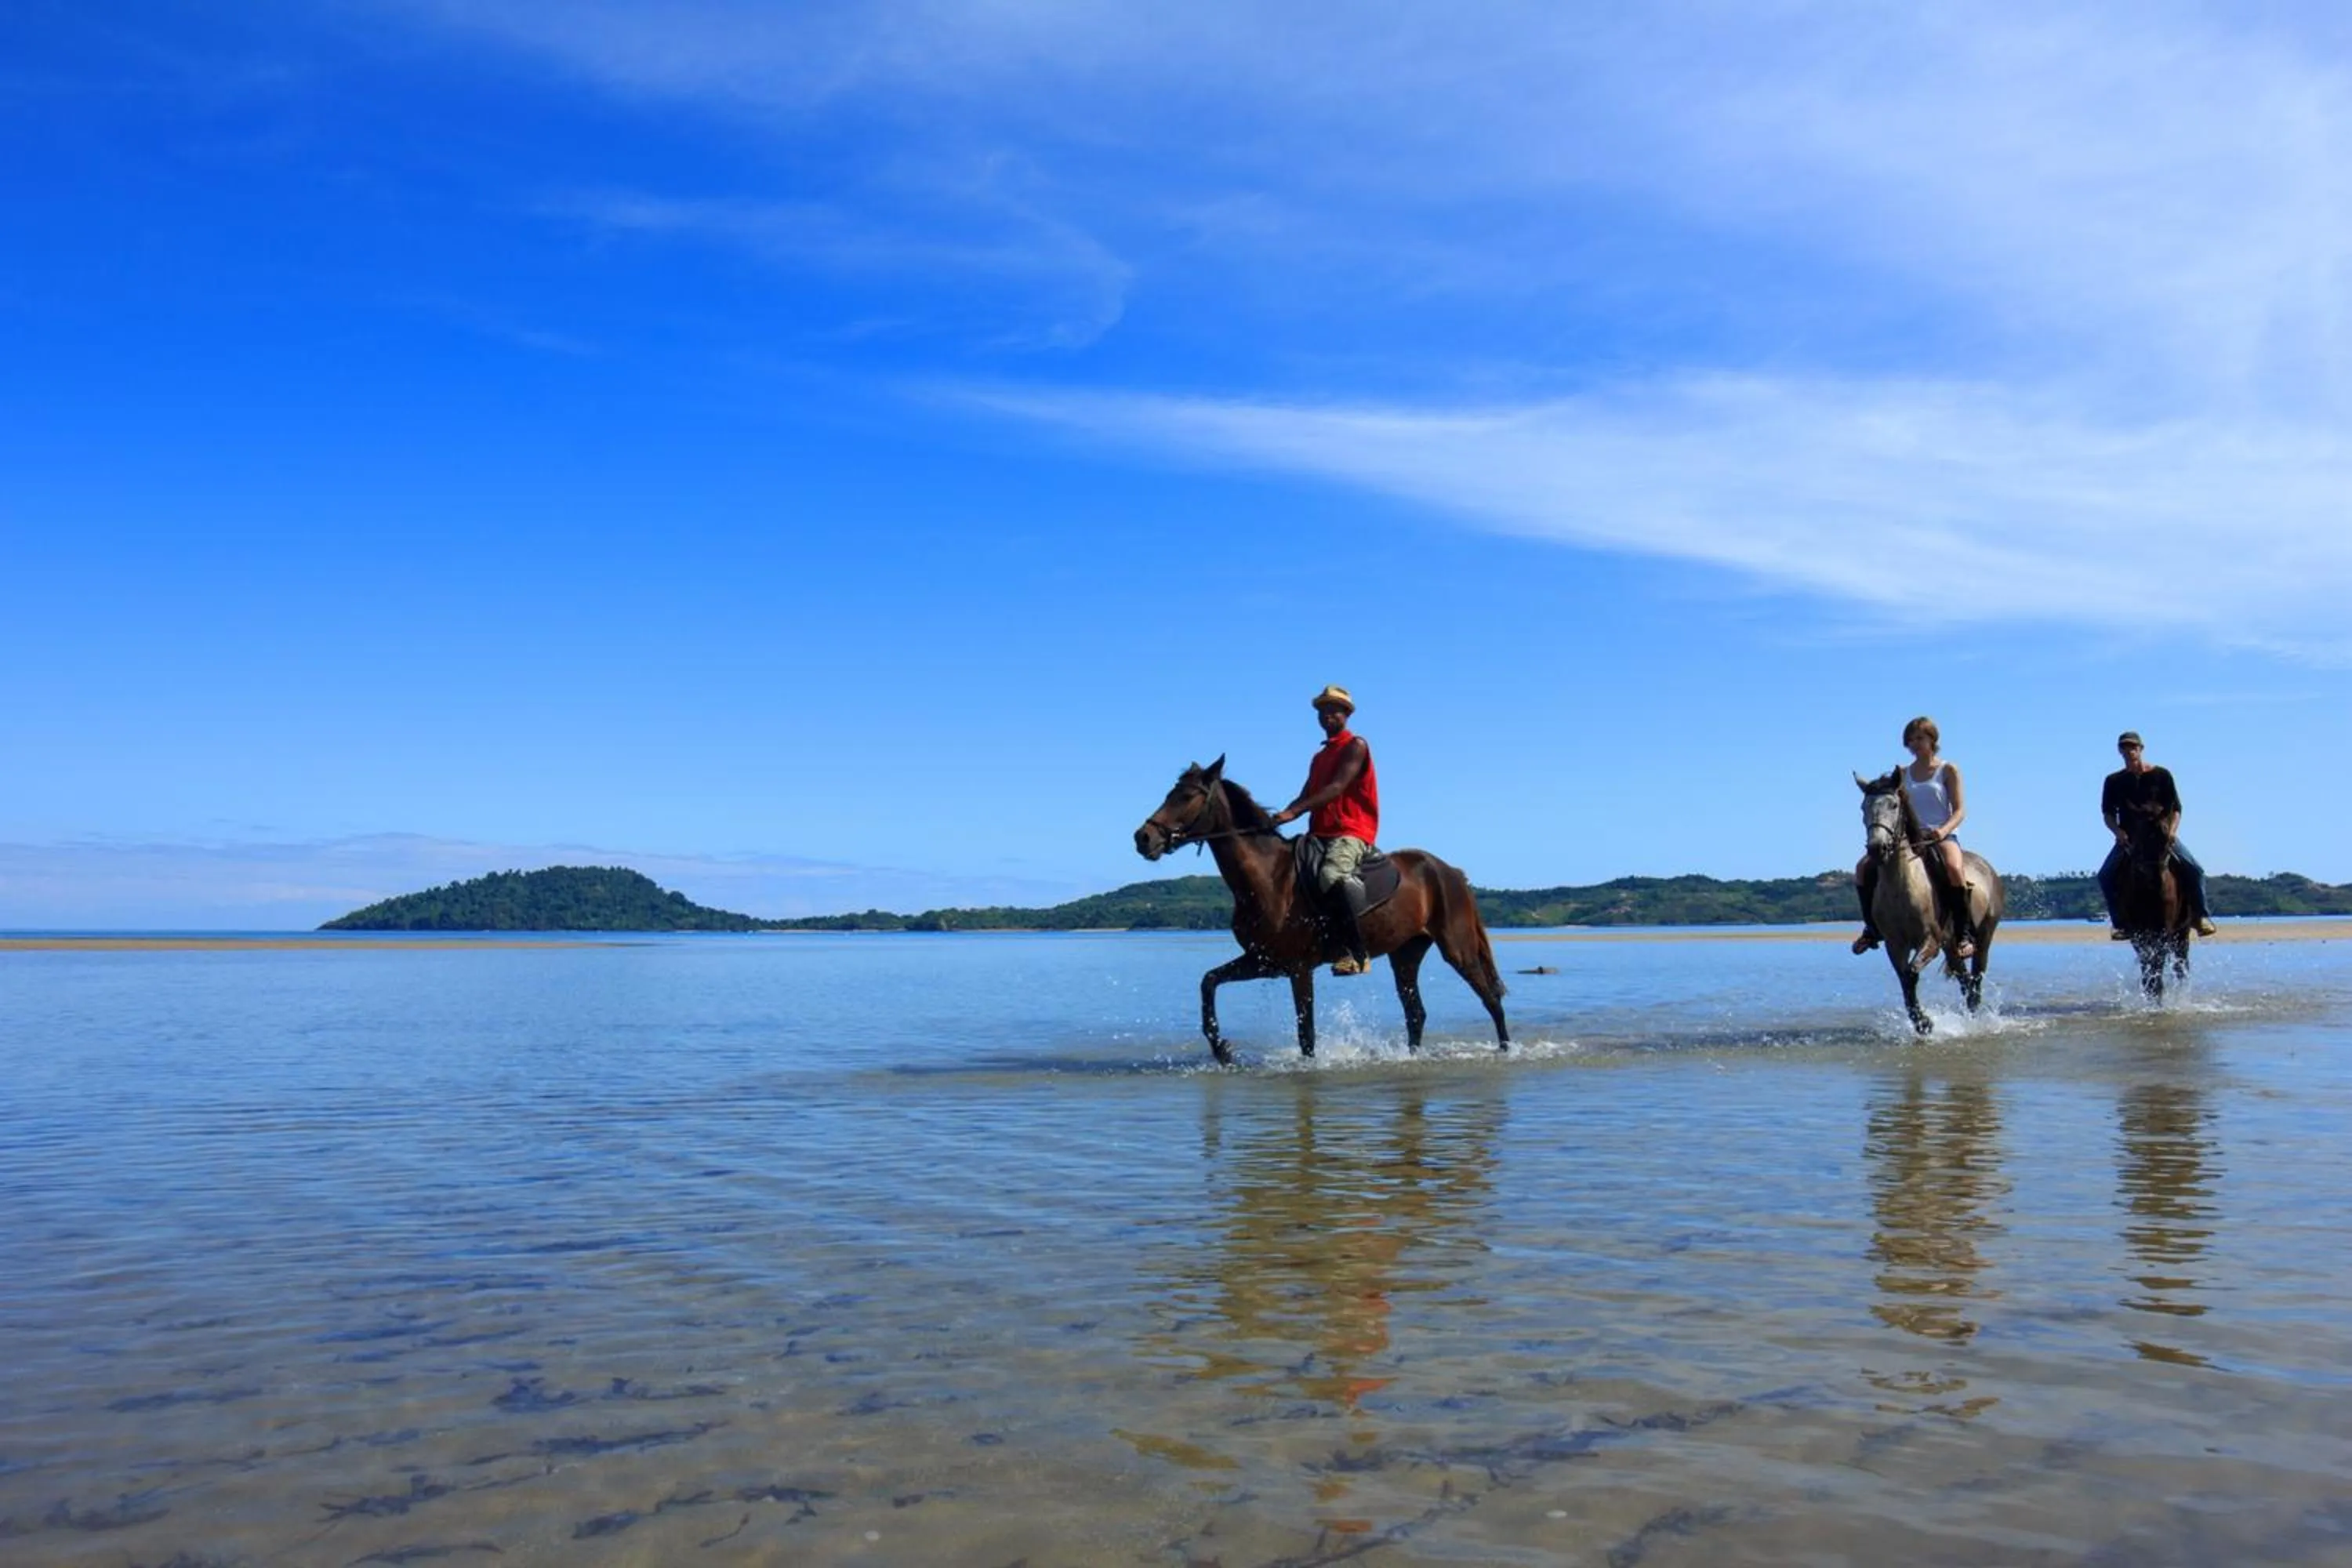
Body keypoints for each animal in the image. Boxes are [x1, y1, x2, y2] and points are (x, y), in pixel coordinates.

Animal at [1134, 758, 1509, 1064]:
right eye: (1171, 793)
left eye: (1187, 797)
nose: (1143, 838)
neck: (1268, 877)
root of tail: (1450, 871)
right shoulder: (1265, 961)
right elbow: (1209, 982)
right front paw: (1222, 1050)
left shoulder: (1299, 968)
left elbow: (1306, 1034)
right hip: (1406, 954)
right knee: (1415, 1012)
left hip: (1457, 949)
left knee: (1490, 999)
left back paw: (1506, 1050)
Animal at [1855, 770, 2004, 1033]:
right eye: (1864, 807)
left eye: (1894, 805)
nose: (1876, 848)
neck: (1901, 887)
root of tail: (1987, 868)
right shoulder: (1895, 945)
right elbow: (1904, 978)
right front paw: (1920, 1021)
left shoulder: (1931, 940)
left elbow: (1912, 972)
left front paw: (1925, 1022)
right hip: (1951, 944)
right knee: (1965, 980)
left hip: (1983, 937)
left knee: (1975, 982)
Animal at [2112, 801, 2192, 999]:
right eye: (2139, 839)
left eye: (2167, 841)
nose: (2155, 881)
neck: (2147, 894)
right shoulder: (2138, 933)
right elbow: (2148, 967)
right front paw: (2151, 994)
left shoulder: (2162, 930)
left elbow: (2157, 965)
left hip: (2182, 932)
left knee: (2181, 967)